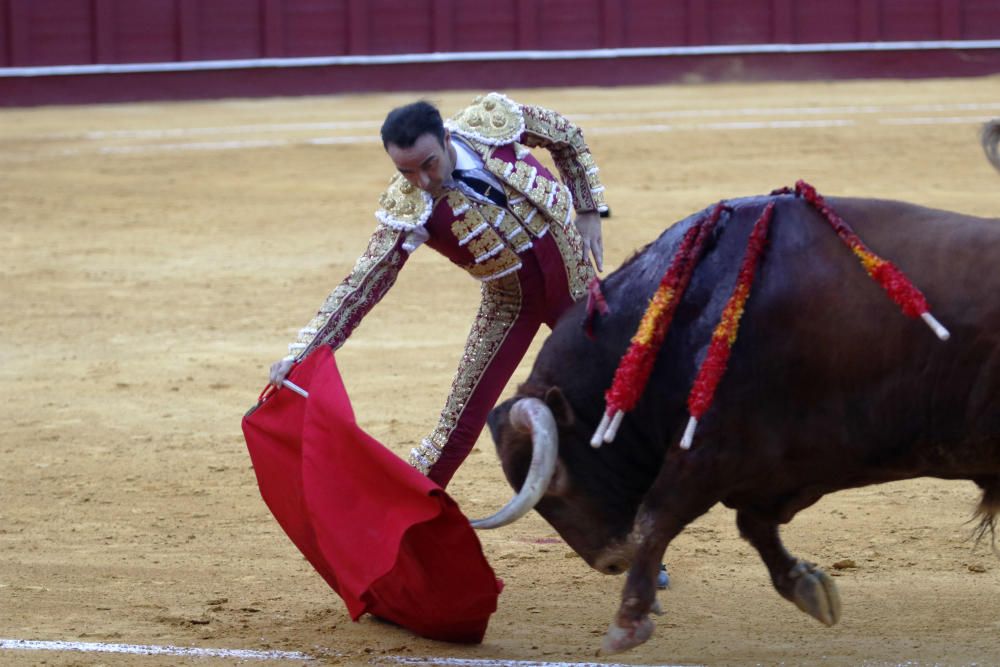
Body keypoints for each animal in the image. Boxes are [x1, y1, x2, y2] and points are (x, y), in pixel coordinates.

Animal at [474, 118, 1000, 652]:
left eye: (555, 480)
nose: (611, 561)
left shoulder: (711, 446)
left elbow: (657, 517)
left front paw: (627, 622)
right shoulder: (774, 464)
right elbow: (752, 525)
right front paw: (809, 587)